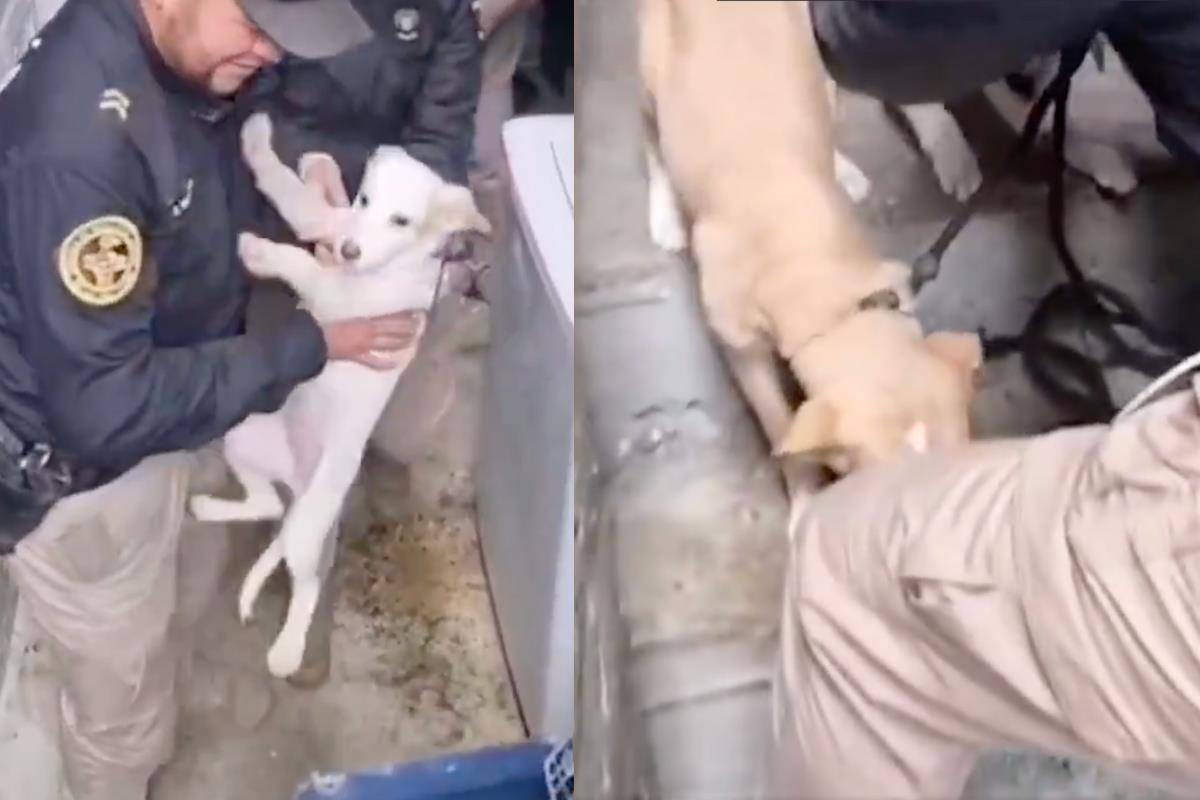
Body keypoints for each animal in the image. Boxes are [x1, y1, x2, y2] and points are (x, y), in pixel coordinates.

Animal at [189, 110, 489, 676]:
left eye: (402, 220)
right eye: (366, 200)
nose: (351, 251)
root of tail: (298, 478)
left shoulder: (337, 287)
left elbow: (302, 236)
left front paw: (262, 242)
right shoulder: (336, 232)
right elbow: (314, 205)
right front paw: (310, 163)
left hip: (309, 531)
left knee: (305, 581)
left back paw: (287, 651)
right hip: (243, 438)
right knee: (264, 505)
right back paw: (208, 508)